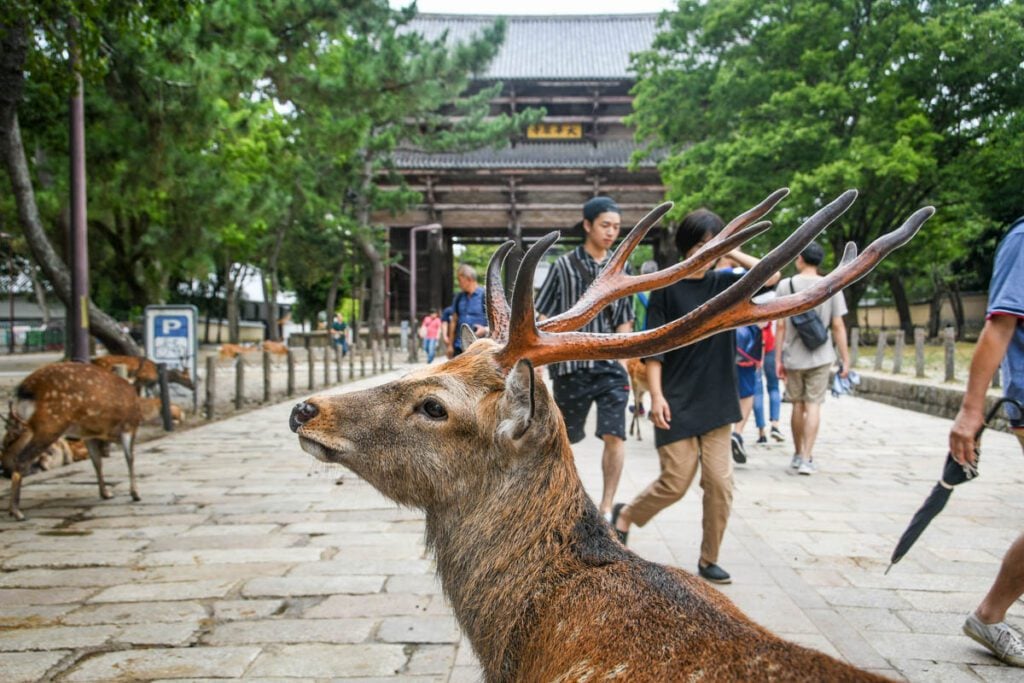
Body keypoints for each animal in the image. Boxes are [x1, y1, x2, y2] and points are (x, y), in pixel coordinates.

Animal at [3, 362, 144, 518]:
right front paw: (135, 494)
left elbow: (97, 462)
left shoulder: (89, 435)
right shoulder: (129, 426)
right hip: (50, 425)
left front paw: (106, 493)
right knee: (22, 459)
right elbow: (130, 458)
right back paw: (16, 511)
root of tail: (23, 390)